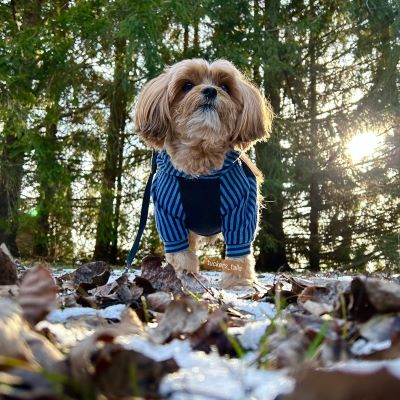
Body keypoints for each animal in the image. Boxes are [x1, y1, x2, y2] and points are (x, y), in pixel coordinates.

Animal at [136, 59, 274, 290]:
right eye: (187, 85)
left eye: (225, 86)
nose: (210, 90)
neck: (201, 169)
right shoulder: (169, 216)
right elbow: (181, 253)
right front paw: (186, 278)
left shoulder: (241, 211)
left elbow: (238, 252)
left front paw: (237, 283)